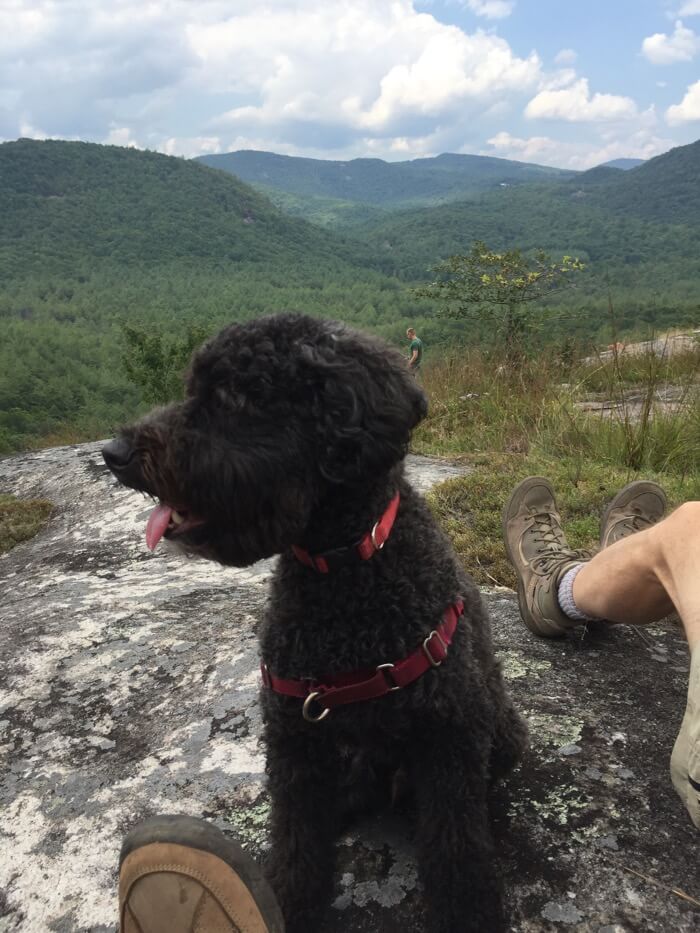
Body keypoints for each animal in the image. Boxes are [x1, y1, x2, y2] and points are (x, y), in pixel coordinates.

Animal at [104, 314, 524, 932]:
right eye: (192, 389)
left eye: (233, 399)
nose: (113, 451)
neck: (343, 574)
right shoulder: (294, 741)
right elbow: (296, 840)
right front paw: (285, 900)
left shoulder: (449, 736)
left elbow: (457, 849)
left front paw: (468, 911)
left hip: (501, 734)